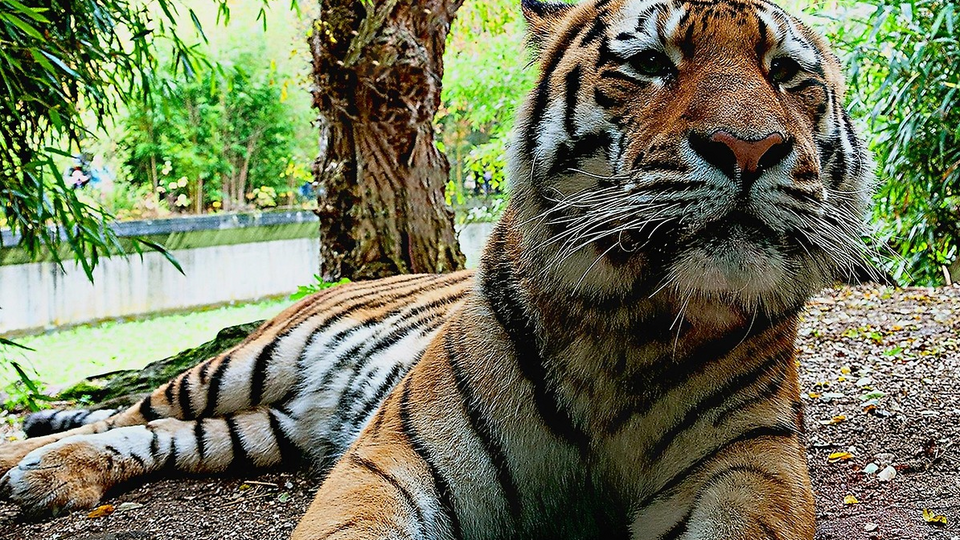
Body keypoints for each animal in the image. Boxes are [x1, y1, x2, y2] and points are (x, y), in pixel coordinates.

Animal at [0, 0, 874, 538]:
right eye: (653, 62)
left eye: (787, 74)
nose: (752, 149)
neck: (631, 322)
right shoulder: (390, 459)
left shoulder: (750, 470)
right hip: (239, 364)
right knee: (121, 413)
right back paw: (24, 462)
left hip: (262, 429)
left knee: (165, 436)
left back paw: (51, 478)